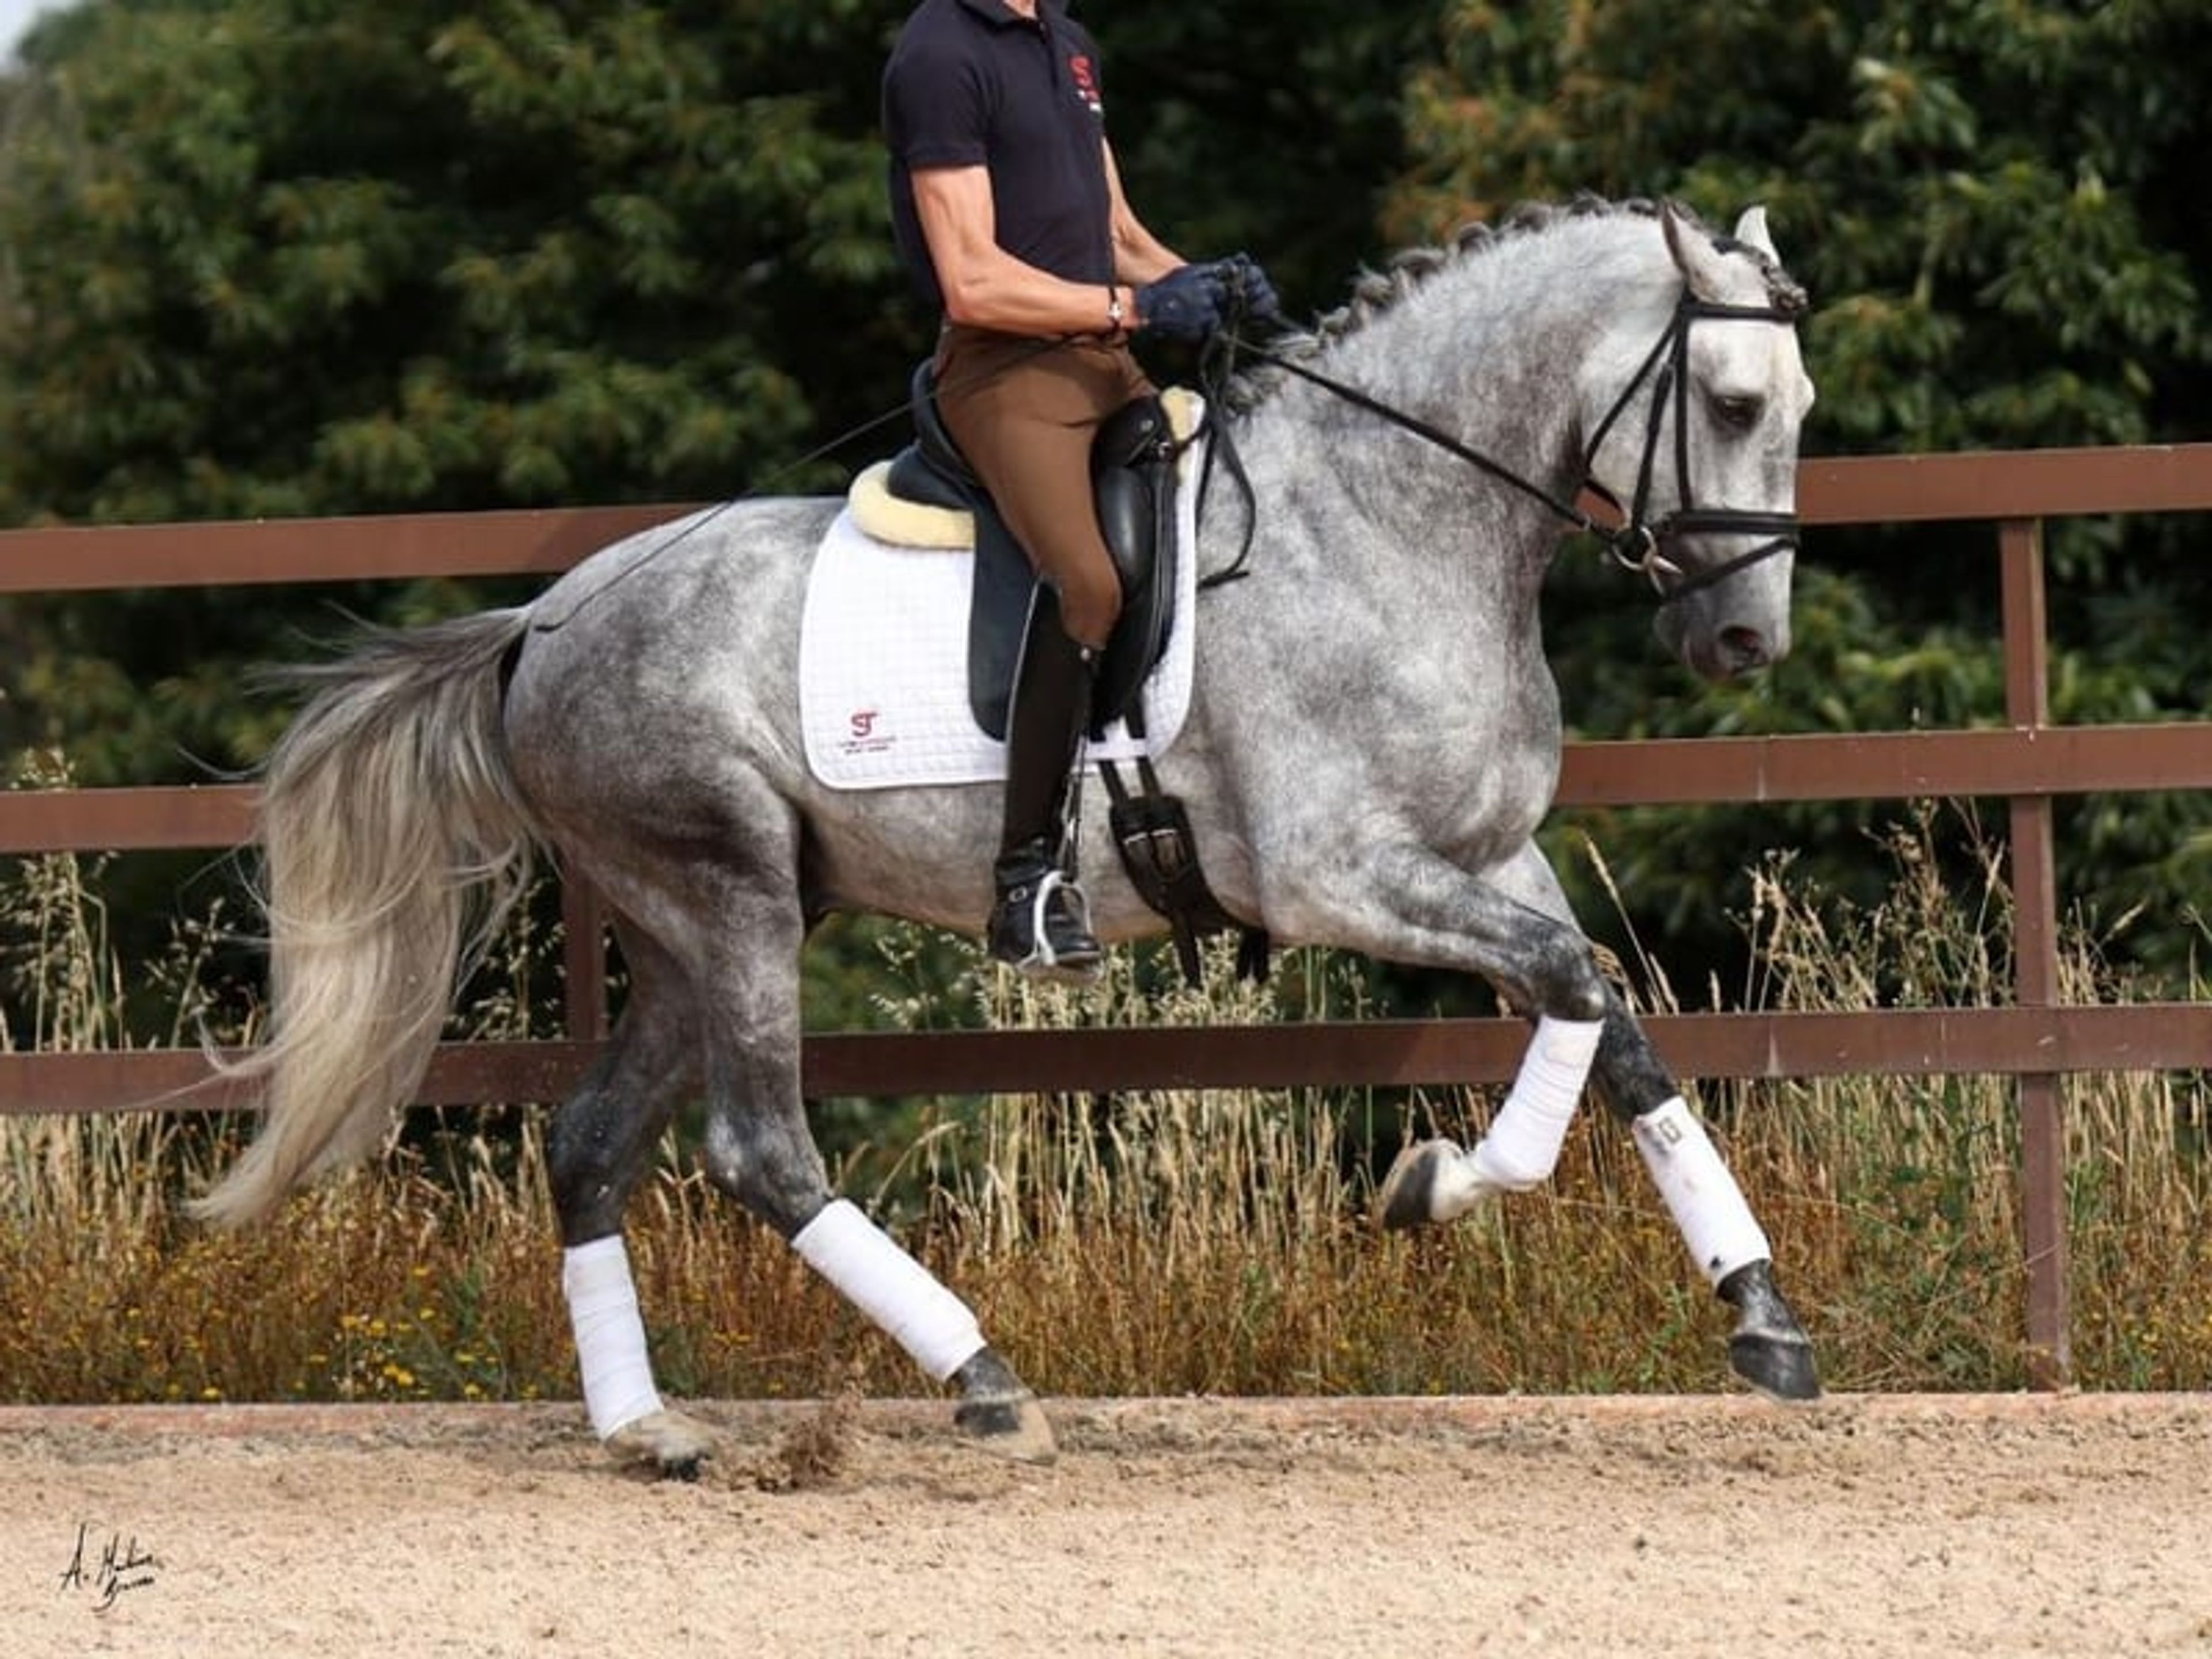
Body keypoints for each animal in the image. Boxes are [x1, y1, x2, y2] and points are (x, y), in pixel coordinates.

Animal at [194, 197, 1821, 1474]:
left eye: (1798, 415)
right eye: (1736, 405)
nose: (1743, 639)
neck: (1387, 523)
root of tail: (542, 619)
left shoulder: (1485, 860)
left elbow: (1607, 1018)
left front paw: (1760, 1315)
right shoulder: (1338, 876)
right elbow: (1568, 987)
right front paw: (1437, 1188)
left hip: (682, 929)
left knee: (594, 1144)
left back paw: (648, 1429)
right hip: (729, 902)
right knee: (761, 1149)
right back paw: (982, 1380)